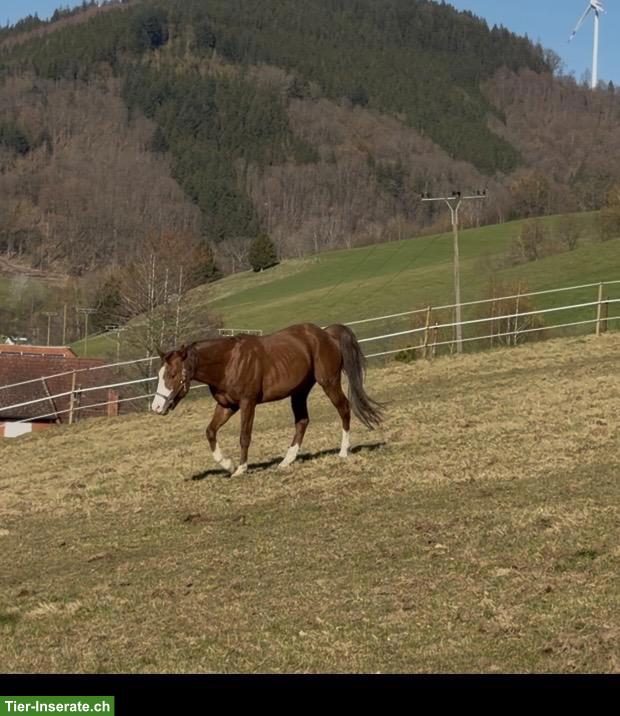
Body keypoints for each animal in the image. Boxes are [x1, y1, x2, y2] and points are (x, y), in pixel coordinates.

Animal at [151, 323, 382, 476]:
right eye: (159, 374)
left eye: (172, 374)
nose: (157, 407)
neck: (227, 362)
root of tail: (327, 334)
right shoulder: (226, 405)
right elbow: (210, 431)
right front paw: (227, 464)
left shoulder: (247, 403)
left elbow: (244, 436)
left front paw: (241, 468)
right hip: (299, 392)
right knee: (302, 421)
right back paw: (286, 461)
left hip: (329, 382)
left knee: (344, 408)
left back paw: (343, 451)